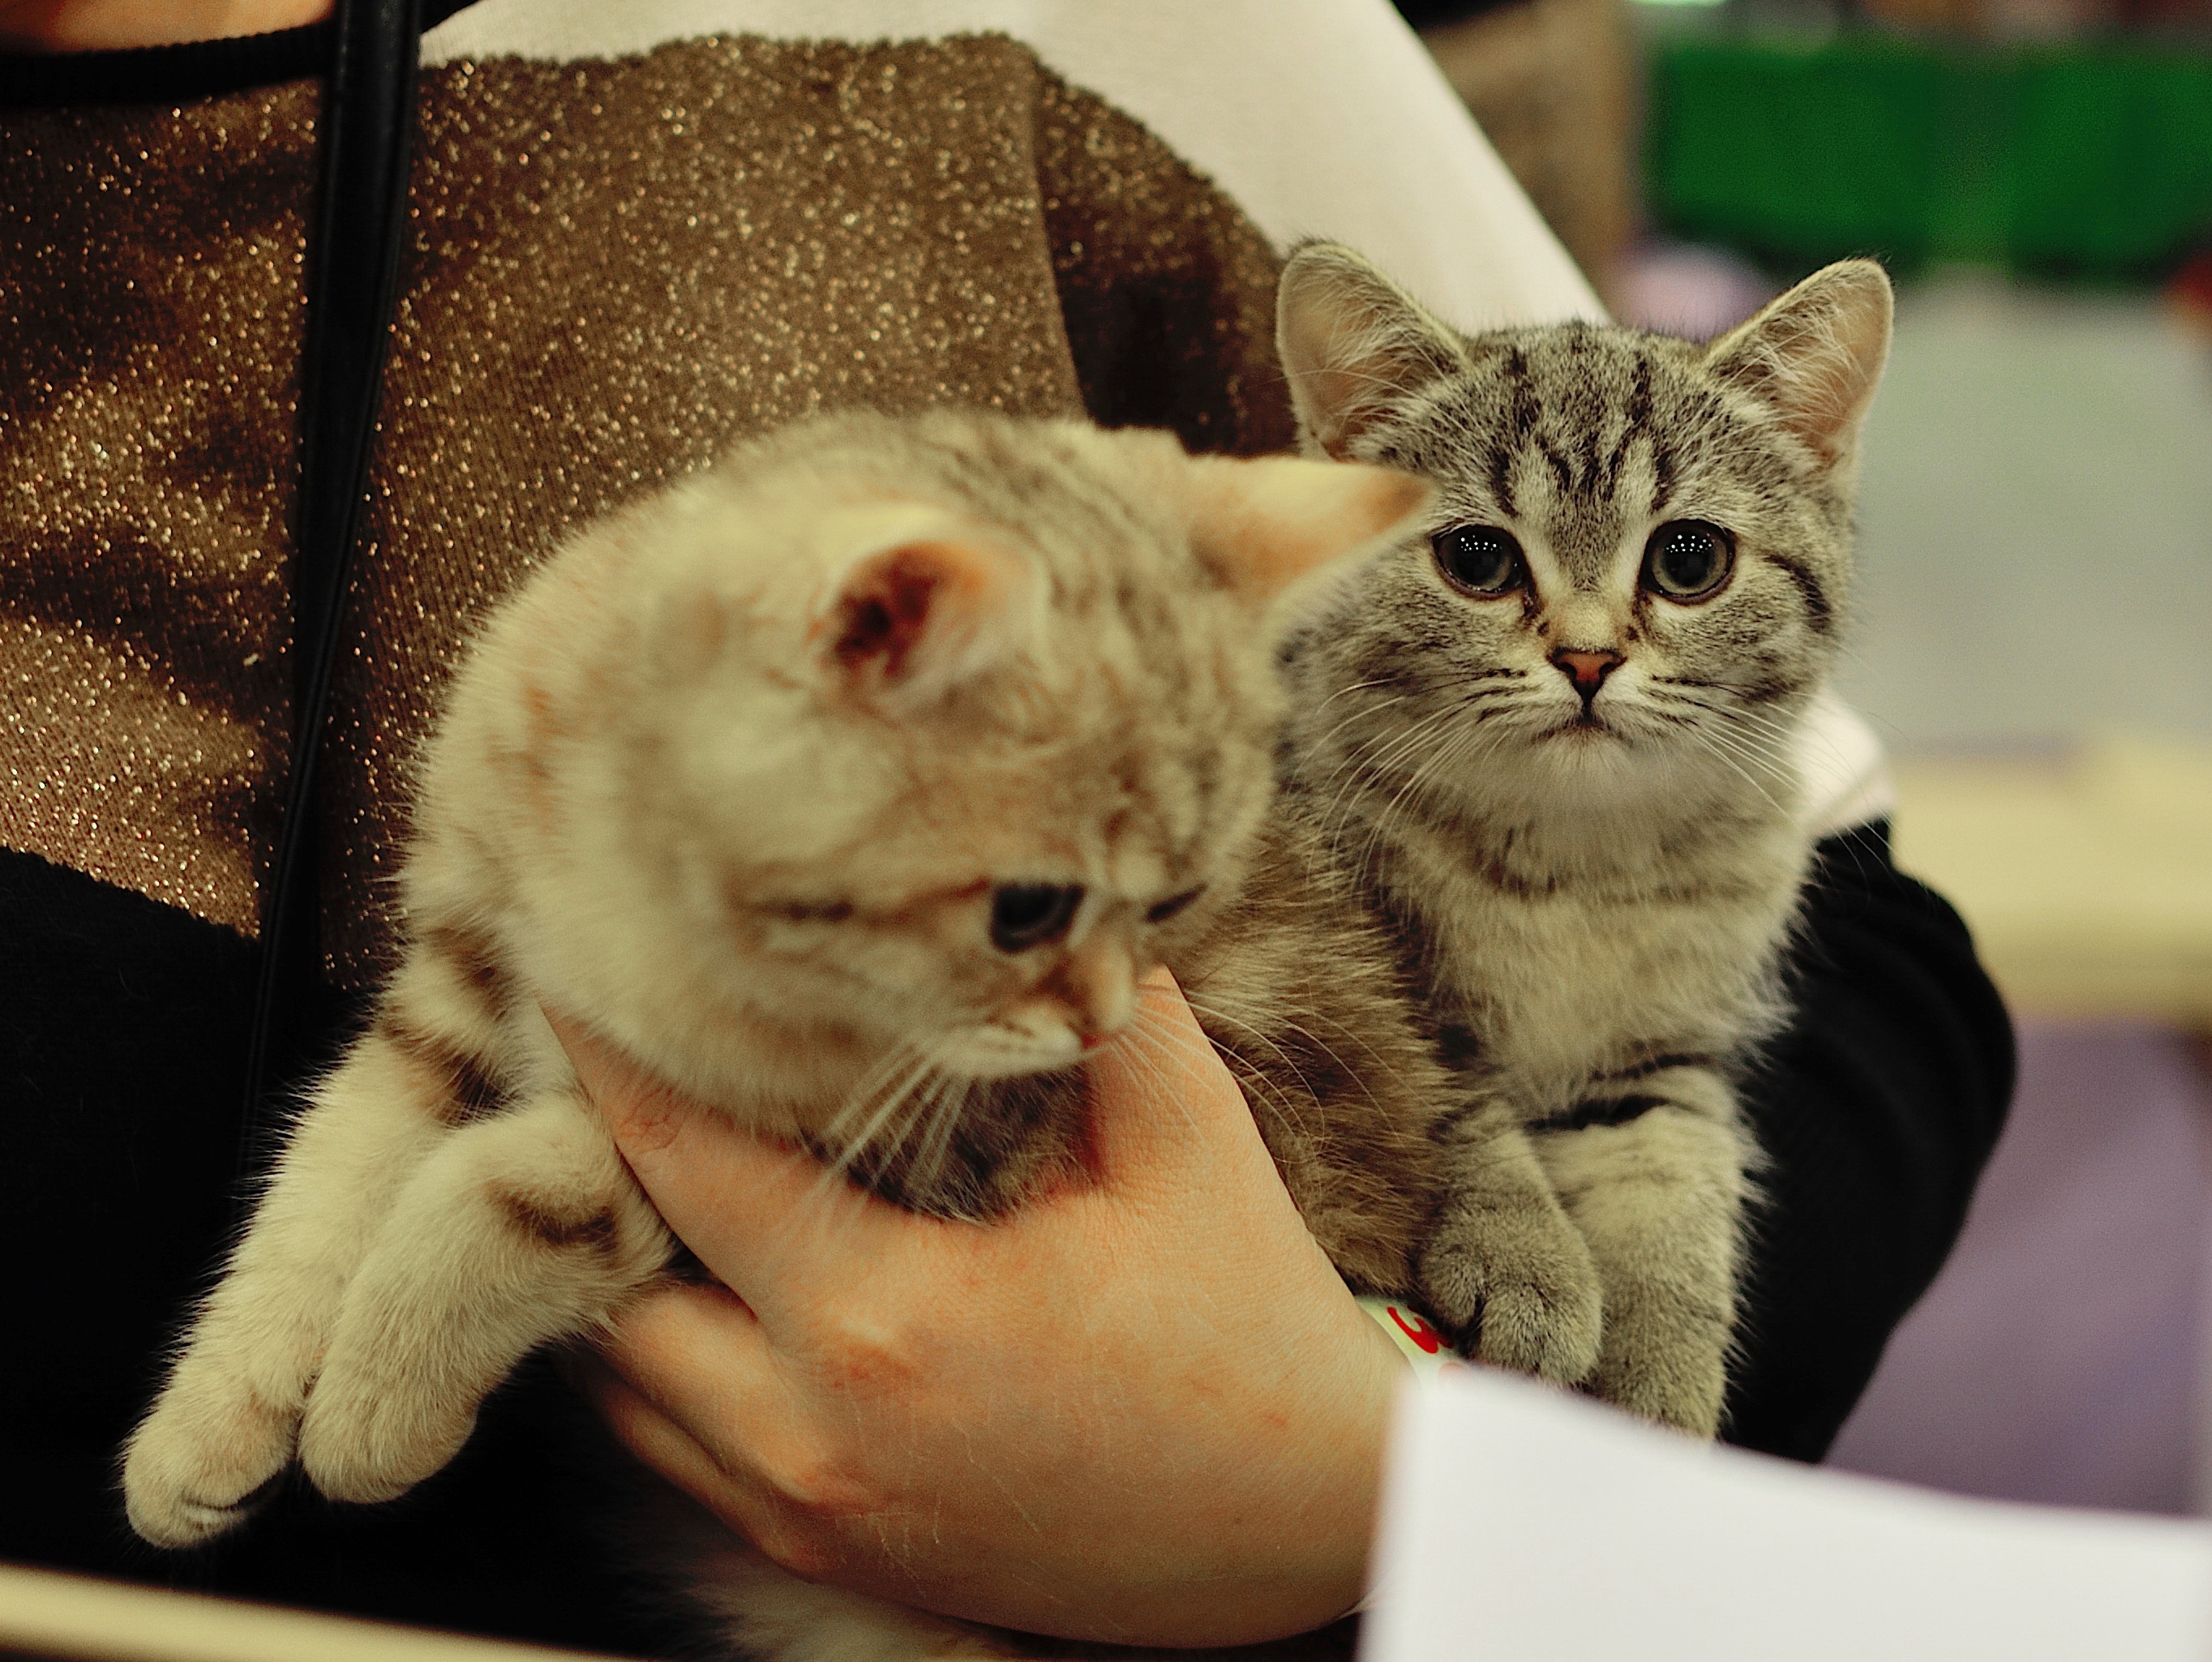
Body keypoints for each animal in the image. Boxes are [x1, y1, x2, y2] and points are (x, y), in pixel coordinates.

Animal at [1272, 244, 1894, 1436]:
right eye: (1477, 558)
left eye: (1689, 559)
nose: (1589, 656)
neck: (1571, 866)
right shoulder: (1358, 971)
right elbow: (1451, 1103)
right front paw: (1529, 1258)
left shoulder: (1662, 1050)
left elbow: (1677, 1183)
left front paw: (1661, 1388)